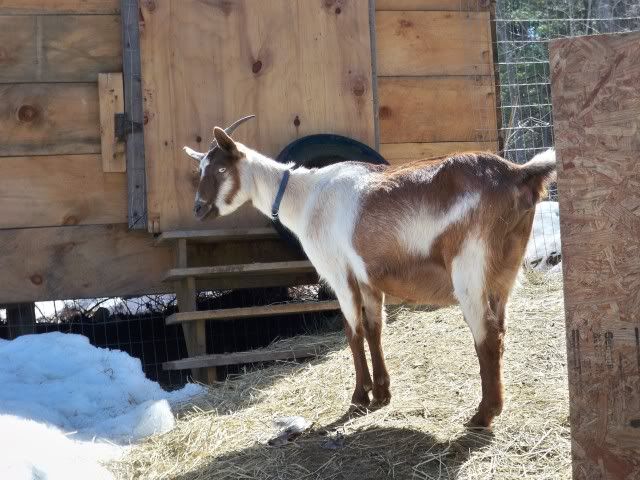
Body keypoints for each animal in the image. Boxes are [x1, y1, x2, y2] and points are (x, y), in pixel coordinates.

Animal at [184, 118, 556, 428]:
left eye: (220, 169)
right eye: (199, 169)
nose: (198, 209)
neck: (305, 197)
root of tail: (518, 173)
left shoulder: (338, 273)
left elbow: (353, 331)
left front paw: (359, 397)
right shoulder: (366, 278)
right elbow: (376, 330)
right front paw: (382, 393)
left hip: (470, 268)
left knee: (487, 336)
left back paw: (482, 415)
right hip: (504, 273)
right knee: (501, 329)